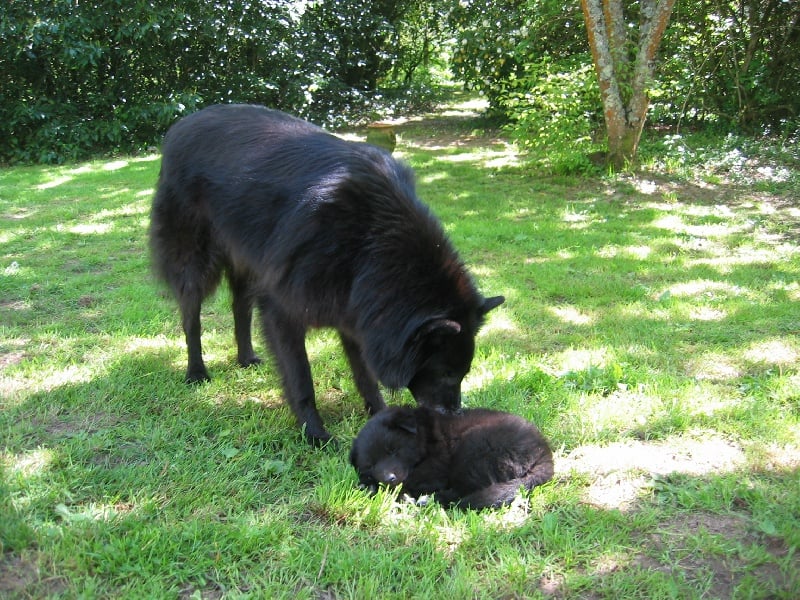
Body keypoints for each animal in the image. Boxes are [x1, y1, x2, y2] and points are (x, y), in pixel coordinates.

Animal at [149, 104, 500, 446]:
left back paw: (246, 356)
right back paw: (196, 372)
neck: (370, 238)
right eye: (446, 373)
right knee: (191, 318)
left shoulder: (355, 312)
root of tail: (181, 125)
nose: (454, 416)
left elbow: (364, 374)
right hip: (194, 263)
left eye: (464, 372)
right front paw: (315, 433)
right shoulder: (284, 311)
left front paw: (379, 415)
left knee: (240, 306)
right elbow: (301, 377)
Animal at [350, 406, 556, 508]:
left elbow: (412, 481)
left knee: (462, 492)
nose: (389, 478)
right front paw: (368, 484)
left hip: (474, 448)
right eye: (370, 465)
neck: (425, 437)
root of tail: (544, 455)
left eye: (392, 450)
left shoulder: (436, 466)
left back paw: (425, 500)